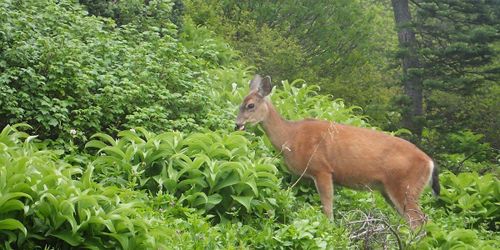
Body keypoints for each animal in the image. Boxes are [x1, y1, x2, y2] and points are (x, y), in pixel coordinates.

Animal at [236, 74, 440, 229]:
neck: (290, 136)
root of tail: (430, 163)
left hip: (405, 187)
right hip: (390, 190)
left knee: (418, 222)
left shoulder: (322, 169)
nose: (237, 124)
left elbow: (328, 208)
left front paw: (330, 230)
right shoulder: (302, 175)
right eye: (240, 103)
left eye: (251, 105)